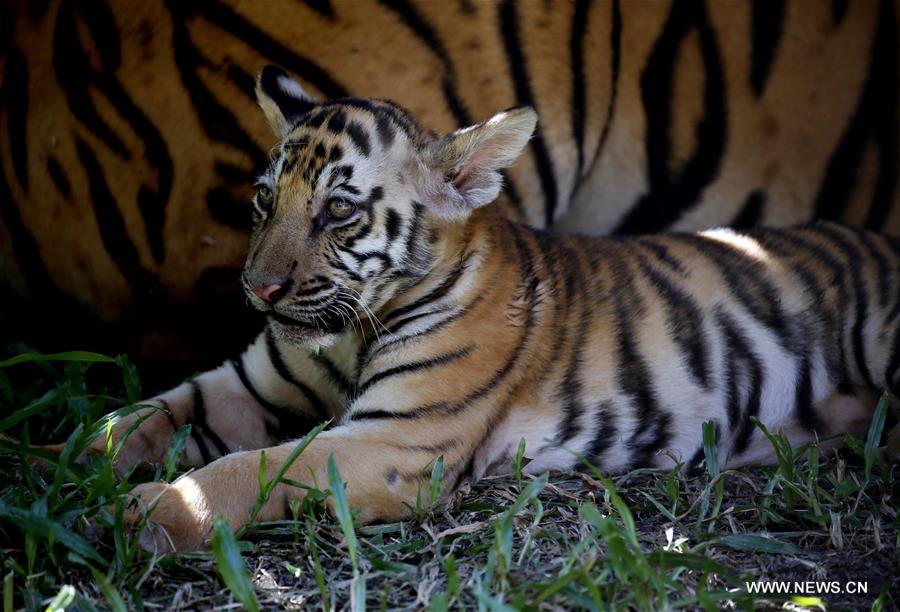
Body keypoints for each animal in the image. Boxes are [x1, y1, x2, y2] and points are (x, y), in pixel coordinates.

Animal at [54, 69, 892, 552]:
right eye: (266, 200)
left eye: (339, 212)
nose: (258, 291)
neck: (349, 336)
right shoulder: (245, 384)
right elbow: (140, 417)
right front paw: (54, 461)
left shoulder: (395, 441)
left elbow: (252, 468)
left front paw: (149, 513)